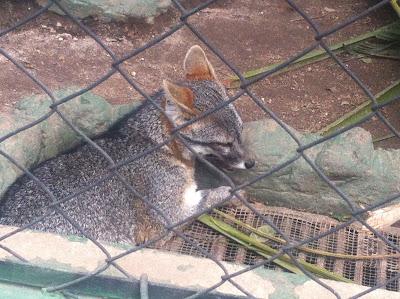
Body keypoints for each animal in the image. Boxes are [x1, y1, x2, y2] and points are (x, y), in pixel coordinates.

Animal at [0, 45, 255, 245]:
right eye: (225, 142)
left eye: (241, 132)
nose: (251, 163)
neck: (155, 145)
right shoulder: (166, 220)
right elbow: (207, 199)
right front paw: (231, 192)